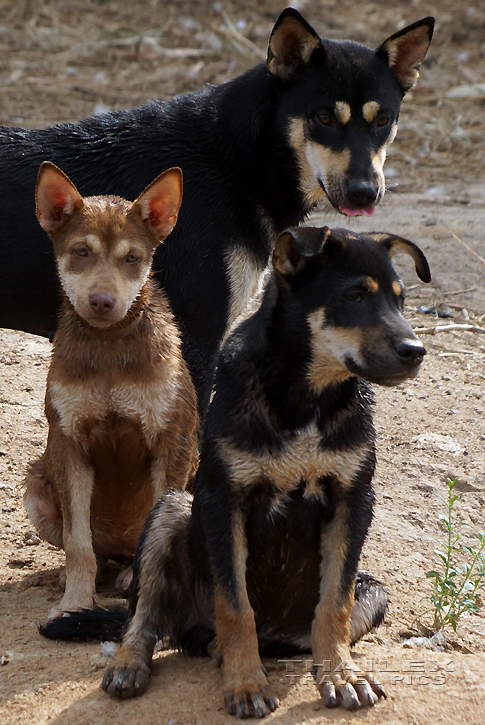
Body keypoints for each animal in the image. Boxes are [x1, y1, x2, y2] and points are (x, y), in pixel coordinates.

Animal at [23, 161, 198, 620]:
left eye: (132, 258)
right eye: (81, 252)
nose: (102, 301)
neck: (109, 345)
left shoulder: (170, 441)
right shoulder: (68, 443)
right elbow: (78, 543)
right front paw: (74, 603)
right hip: (35, 486)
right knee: (91, 548)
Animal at [40, 228, 428, 720]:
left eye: (401, 301)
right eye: (354, 295)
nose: (416, 352)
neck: (302, 400)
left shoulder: (352, 500)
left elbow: (333, 606)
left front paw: (342, 675)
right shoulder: (222, 501)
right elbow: (235, 606)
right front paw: (245, 684)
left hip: (374, 591)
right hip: (170, 511)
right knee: (143, 616)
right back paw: (132, 665)